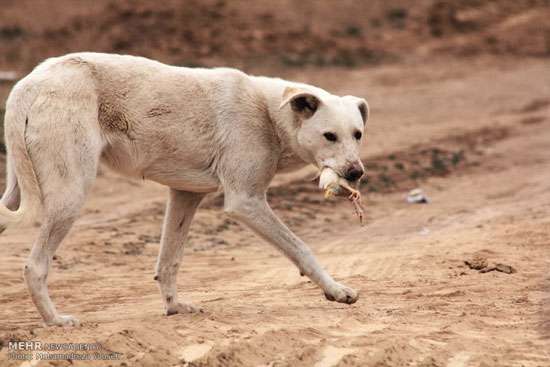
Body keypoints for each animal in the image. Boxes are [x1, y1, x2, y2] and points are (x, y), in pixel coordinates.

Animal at [1, 52, 370, 328]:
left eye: (358, 134)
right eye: (329, 136)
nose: (357, 173)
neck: (269, 114)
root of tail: (29, 82)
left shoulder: (185, 195)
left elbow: (169, 262)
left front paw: (174, 308)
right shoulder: (245, 202)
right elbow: (301, 249)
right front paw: (336, 291)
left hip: (18, 192)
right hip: (71, 196)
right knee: (34, 267)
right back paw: (55, 320)